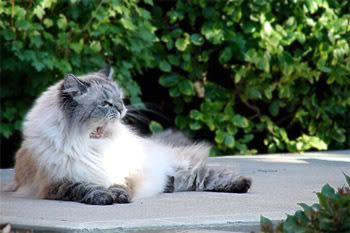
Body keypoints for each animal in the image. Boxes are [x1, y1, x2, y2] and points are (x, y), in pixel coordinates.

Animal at [6, 66, 252, 205]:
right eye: (105, 104)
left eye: (120, 99)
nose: (122, 109)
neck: (92, 145)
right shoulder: (58, 183)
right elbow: (84, 188)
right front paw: (103, 198)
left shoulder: (121, 174)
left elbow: (119, 187)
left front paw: (119, 197)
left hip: (176, 166)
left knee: (204, 173)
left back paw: (243, 184)